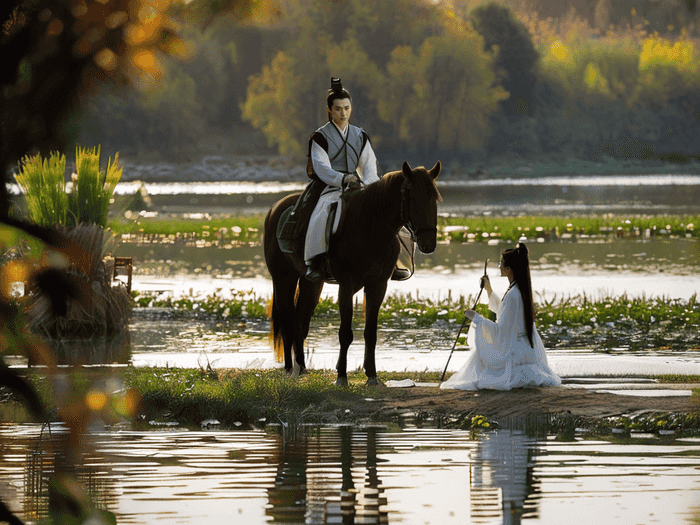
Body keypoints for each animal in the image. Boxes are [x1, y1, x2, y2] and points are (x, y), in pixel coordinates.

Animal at [266, 160, 440, 384]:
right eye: (411, 196)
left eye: (434, 197)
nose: (428, 244)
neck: (370, 226)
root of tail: (275, 208)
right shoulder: (346, 286)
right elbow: (345, 333)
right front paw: (341, 375)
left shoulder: (378, 285)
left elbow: (370, 332)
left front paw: (372, 375)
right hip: (283, 278)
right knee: (287, 318)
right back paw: (289, 368)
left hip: (311, 282)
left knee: (299, 321)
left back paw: (301, 367)